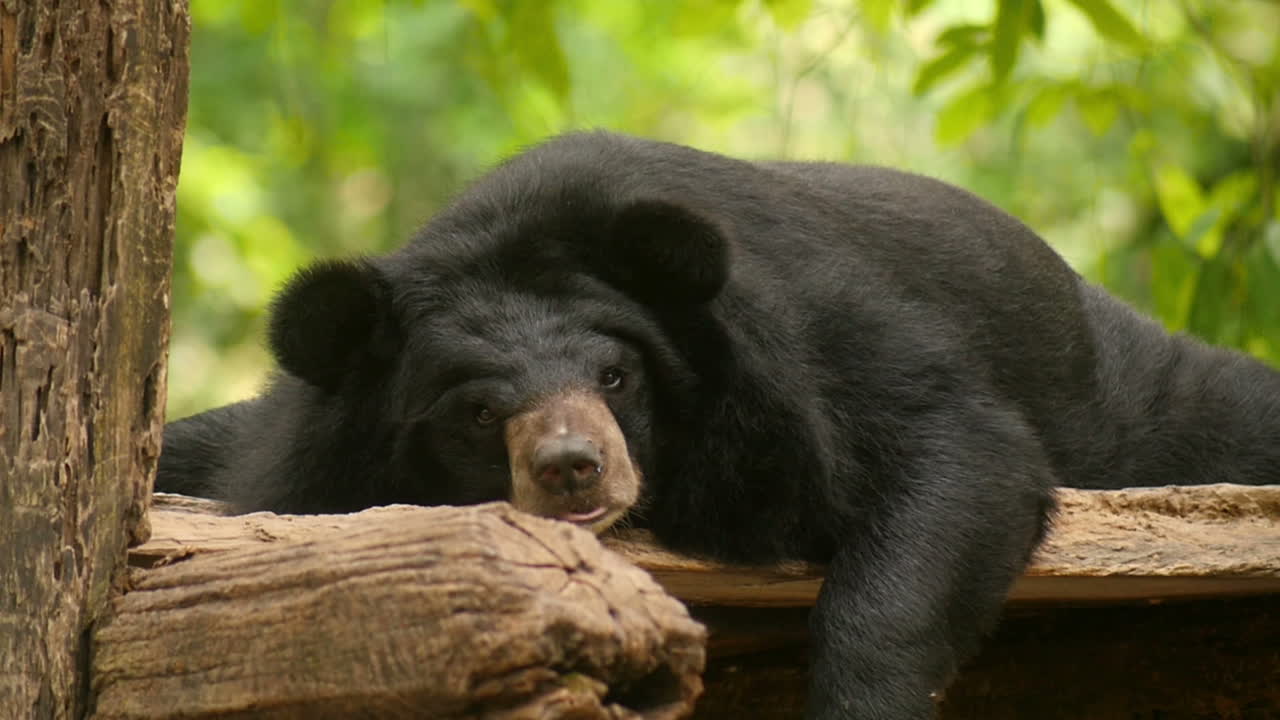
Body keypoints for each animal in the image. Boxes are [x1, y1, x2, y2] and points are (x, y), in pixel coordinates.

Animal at [157, 131, 1280, 720]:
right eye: (479, 413)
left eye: (615, 375)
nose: (574, 468)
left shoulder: (810, 345)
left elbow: (951, 454)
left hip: (1131, 399)